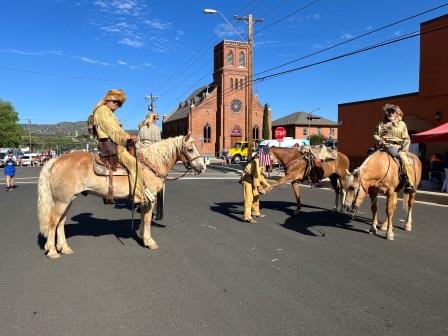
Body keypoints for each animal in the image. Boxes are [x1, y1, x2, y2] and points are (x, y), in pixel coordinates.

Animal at [37, 135, 206, 260]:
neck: (151, 164)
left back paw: (64, 248)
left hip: (68, 200)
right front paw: (149, 241)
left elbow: (143, 219)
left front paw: (143, 237)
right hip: (62, 201)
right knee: (53, 221)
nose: (203, 167)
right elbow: (147, 219)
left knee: (61, 222)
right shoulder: (149, 199)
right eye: (190, 149)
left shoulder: (144, 200)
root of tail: (56, 160)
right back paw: (52, 251)